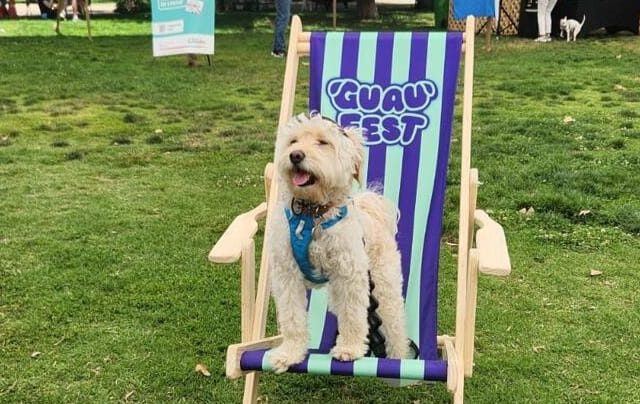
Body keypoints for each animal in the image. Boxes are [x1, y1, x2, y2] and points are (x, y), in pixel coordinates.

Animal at [267, 113, 409, 373]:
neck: (312, 215)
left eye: (323, 142)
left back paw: (399, 361)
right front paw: (289, 353)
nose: (295, 155)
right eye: (293, 141)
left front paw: (349, 348)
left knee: (395, 327)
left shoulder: (350, 275)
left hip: (385, 290)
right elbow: (292, 318)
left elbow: (353, 315)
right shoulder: (286, 275)